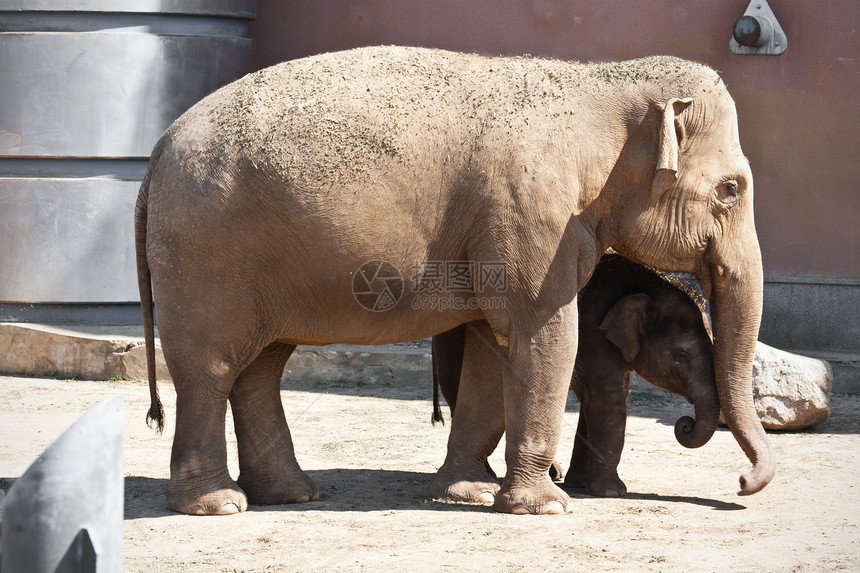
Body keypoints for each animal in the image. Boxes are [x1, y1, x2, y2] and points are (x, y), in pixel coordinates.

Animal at [434, 254, 716, 496]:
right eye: (681, 356)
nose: (685, 424)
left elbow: (595, 402)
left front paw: (578, 483)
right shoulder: (594, 334)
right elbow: (609, 400)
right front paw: (611, 492)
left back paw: (551, 475)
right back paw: (487, 477)